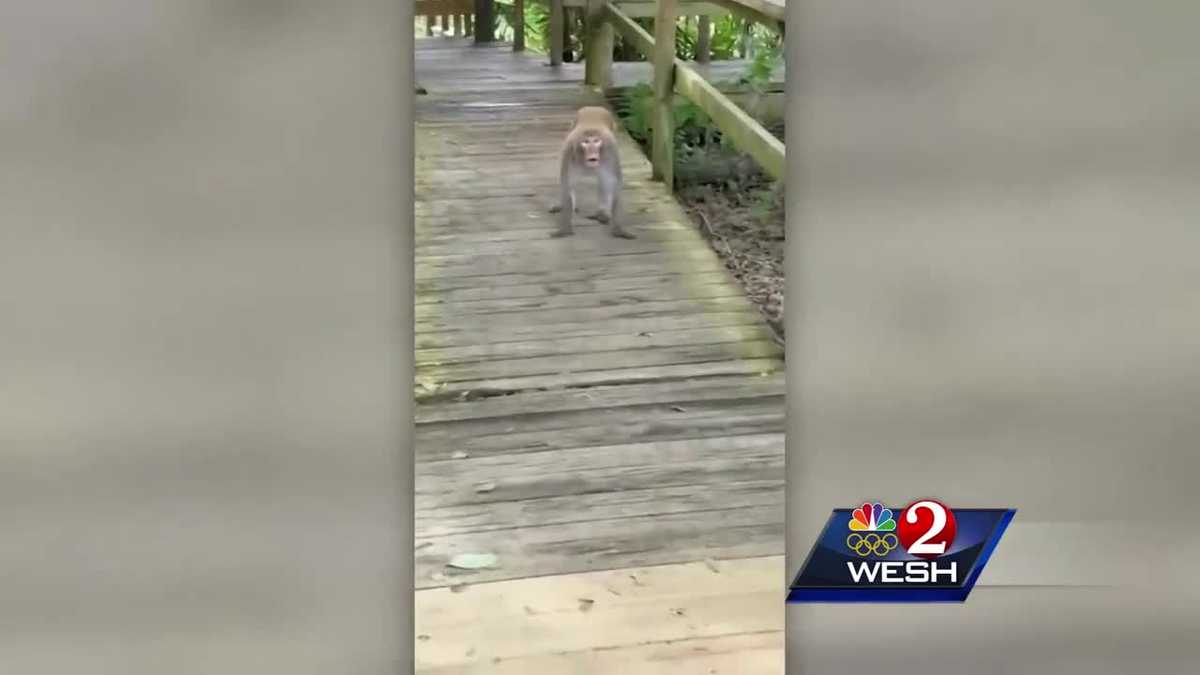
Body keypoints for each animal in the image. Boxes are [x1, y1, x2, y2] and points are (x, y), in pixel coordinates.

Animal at [549, 106, 635, 239]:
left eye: (596, 141)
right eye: (586, 142)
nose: (592, 150)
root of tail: (593, 107)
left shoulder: (610, 152)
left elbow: (615, 184)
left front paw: (618, 230)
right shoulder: (569, 152)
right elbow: (567, 183)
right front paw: (565, 228)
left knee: (604, 180)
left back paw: (602, 212)